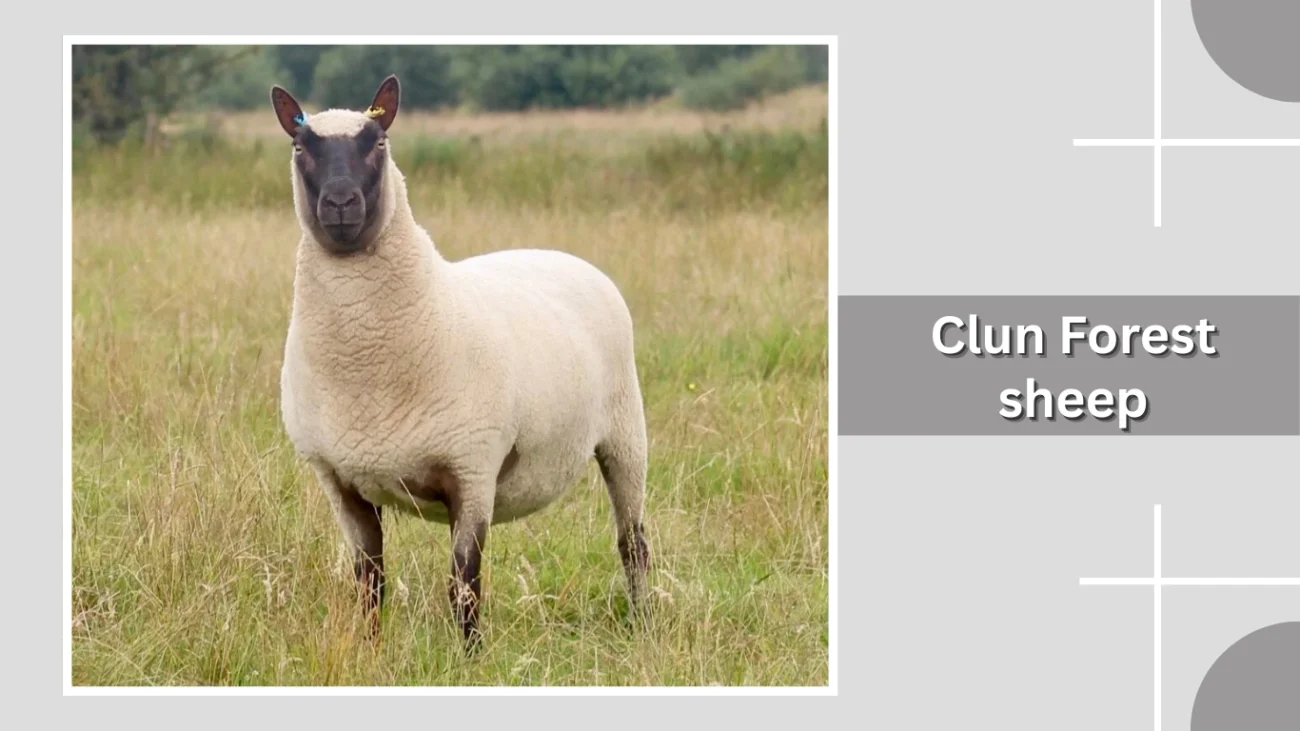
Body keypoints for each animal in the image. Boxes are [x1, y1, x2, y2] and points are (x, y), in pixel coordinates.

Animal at [269, 75, 652, 649]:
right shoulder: (340, 481)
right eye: (299, 148)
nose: (339, 202)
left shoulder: (472, 470)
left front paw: (469, 656)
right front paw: (370, 650)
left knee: (634, 544)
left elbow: (464, 587)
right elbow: (370, 584)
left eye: (379, 143)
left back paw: (646, 623)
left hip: (626, 435)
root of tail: (559, 254)